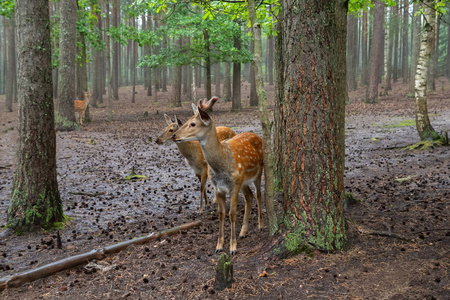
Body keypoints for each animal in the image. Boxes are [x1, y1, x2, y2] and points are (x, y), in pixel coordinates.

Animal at [172, 97, 264, 254]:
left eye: (192, 123)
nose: (174, 135)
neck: (222, 165)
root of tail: (257, 135)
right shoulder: (219, 188)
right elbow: (221, 214)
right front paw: (219, 246)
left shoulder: (234, 186)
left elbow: (232, 213)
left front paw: (232, 247)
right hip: (243, 181)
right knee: (249, 196)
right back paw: (243, 232)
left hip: (259, 170)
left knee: (258, 194)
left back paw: (260, 225)